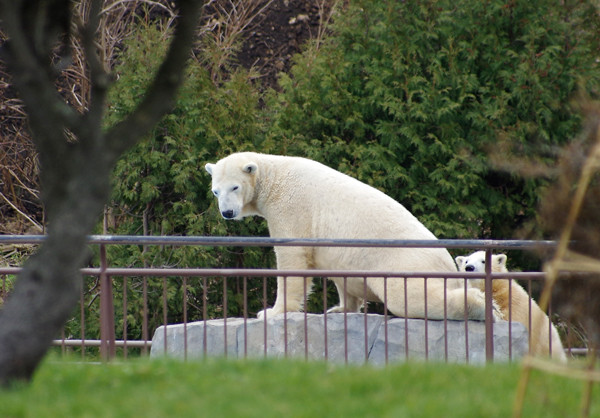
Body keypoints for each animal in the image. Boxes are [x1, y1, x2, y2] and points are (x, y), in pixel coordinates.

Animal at [206, 152, 496, 322]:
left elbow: (293, 255)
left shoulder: (291, 207)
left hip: (403, 264)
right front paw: (339, 308)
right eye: (216, 191)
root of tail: (447, 264)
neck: (274, 177)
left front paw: (270, 311)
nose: (228, 213)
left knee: (412, 298)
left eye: (235, 187)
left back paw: (479, 305)